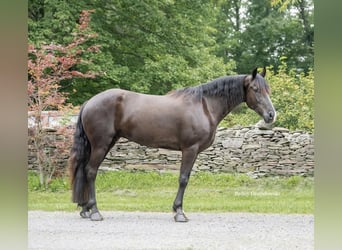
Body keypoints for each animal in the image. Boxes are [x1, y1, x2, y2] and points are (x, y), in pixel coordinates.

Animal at [69, 67, 276, 222]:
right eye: (255, 89)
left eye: (268, 89)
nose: (271, 115)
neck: (204, 106)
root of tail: (89, 102)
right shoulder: (190, 149)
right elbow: (183, 179)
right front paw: (179, 212)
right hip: (101, 145)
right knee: (91, 171)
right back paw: (95, 211)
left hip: (104, 144)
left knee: (85, 170)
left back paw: (85, 209)